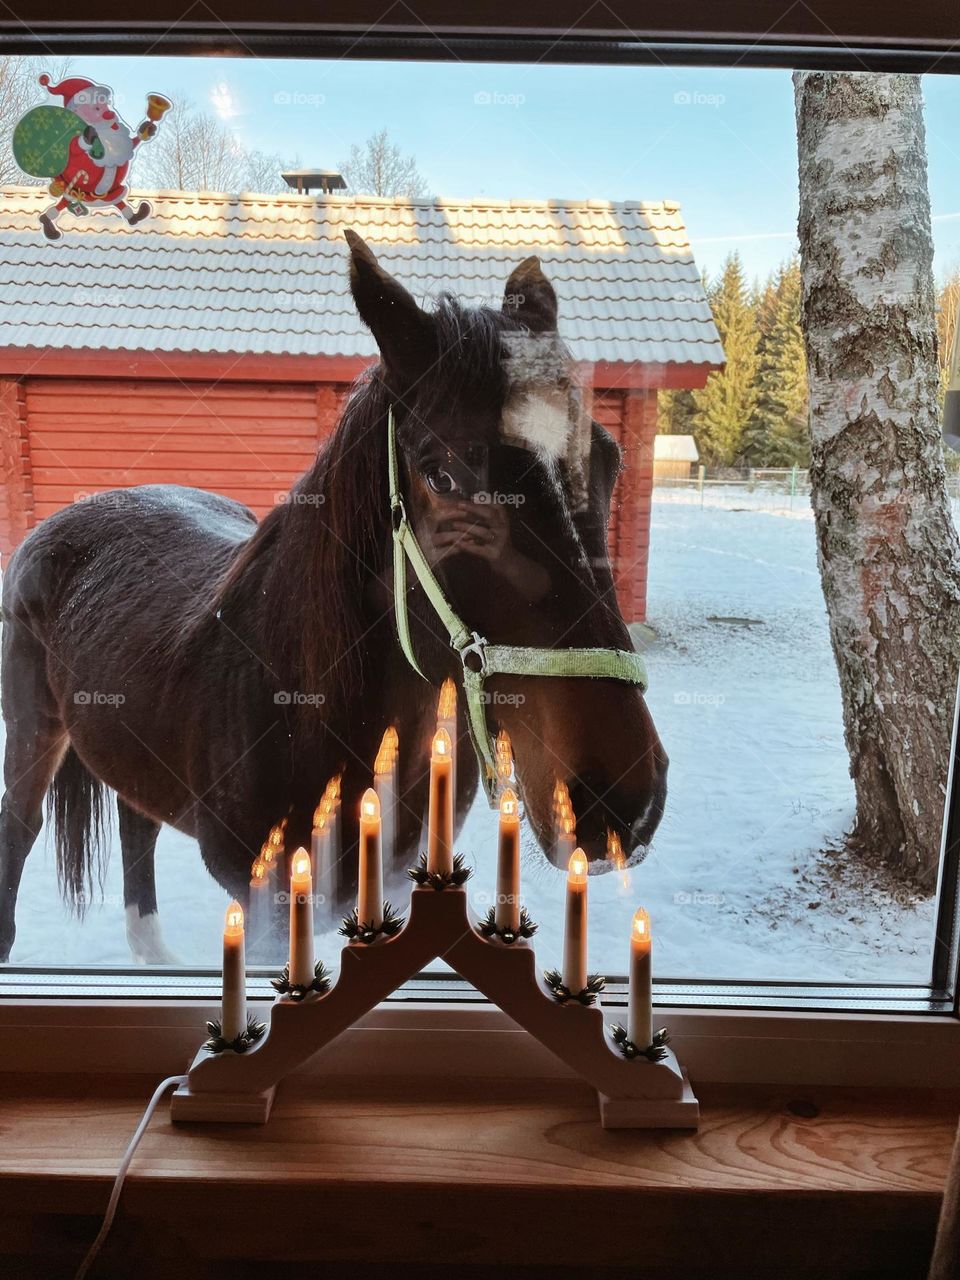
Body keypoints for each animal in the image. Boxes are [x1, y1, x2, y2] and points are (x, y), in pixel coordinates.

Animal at [0, 230, 668, 965]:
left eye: (607, 459)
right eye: (442, 475)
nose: (619, 802)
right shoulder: (262, 909)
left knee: (136, 823)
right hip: (32, 736)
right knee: (21, 829)